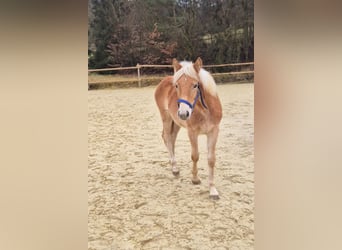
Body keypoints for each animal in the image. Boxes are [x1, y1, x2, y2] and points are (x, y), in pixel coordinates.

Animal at [154, 57, 223, 199]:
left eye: (195, 85)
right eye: (177, 85)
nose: (183, 113)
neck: (205, 110)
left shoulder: (214, 131)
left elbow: (211, 159)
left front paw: (212, 190)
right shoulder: (192, 132)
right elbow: (195, 156)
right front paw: (195, 179)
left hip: (176, 123)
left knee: (171, 139)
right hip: (166, 118)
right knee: (167, 138)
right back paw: (174, 168)